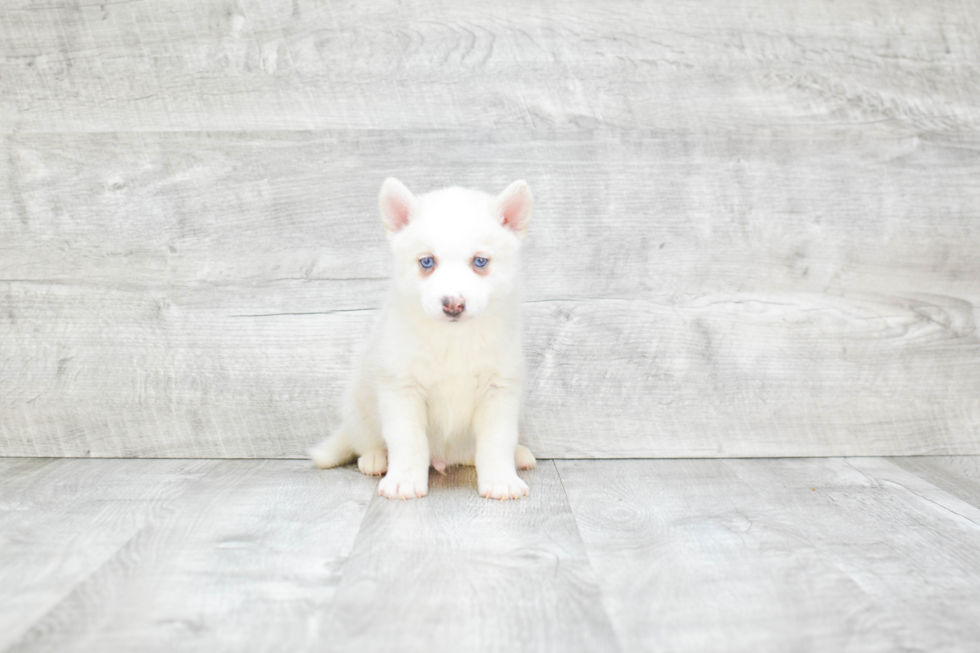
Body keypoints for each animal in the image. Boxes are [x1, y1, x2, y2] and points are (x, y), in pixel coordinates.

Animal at [312, 177, 536, 500]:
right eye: (427, 262)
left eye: (480, 261)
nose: (453, 304)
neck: (453, 339)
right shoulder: (401, 389)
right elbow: (408, 440)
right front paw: (403, 480)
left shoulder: (499, 390)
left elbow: (497, 440)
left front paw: (501, 480)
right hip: (357, 406)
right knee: (365, 440)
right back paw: (375, 458)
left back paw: (518, 455)